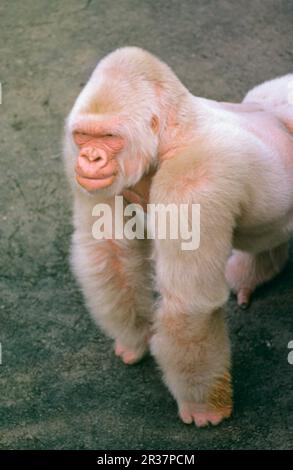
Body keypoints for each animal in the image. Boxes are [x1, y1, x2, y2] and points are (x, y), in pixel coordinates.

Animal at [64, 47, 292, 426]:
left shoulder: (194, 181)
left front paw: (203, 405)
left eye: (109, 138)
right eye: (84, 136)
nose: (90, 158)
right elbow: (110, 255)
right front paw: (134, 339)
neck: (172, 133)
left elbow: (189, 304)